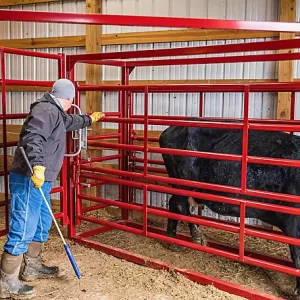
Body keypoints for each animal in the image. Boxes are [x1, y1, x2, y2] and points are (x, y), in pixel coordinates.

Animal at [159, 118, 300, 298]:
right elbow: (298, 257)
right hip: (181, 182)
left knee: (174, 204)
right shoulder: (293, 222)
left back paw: (175, 240)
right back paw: (195, 238)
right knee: (179, 205)